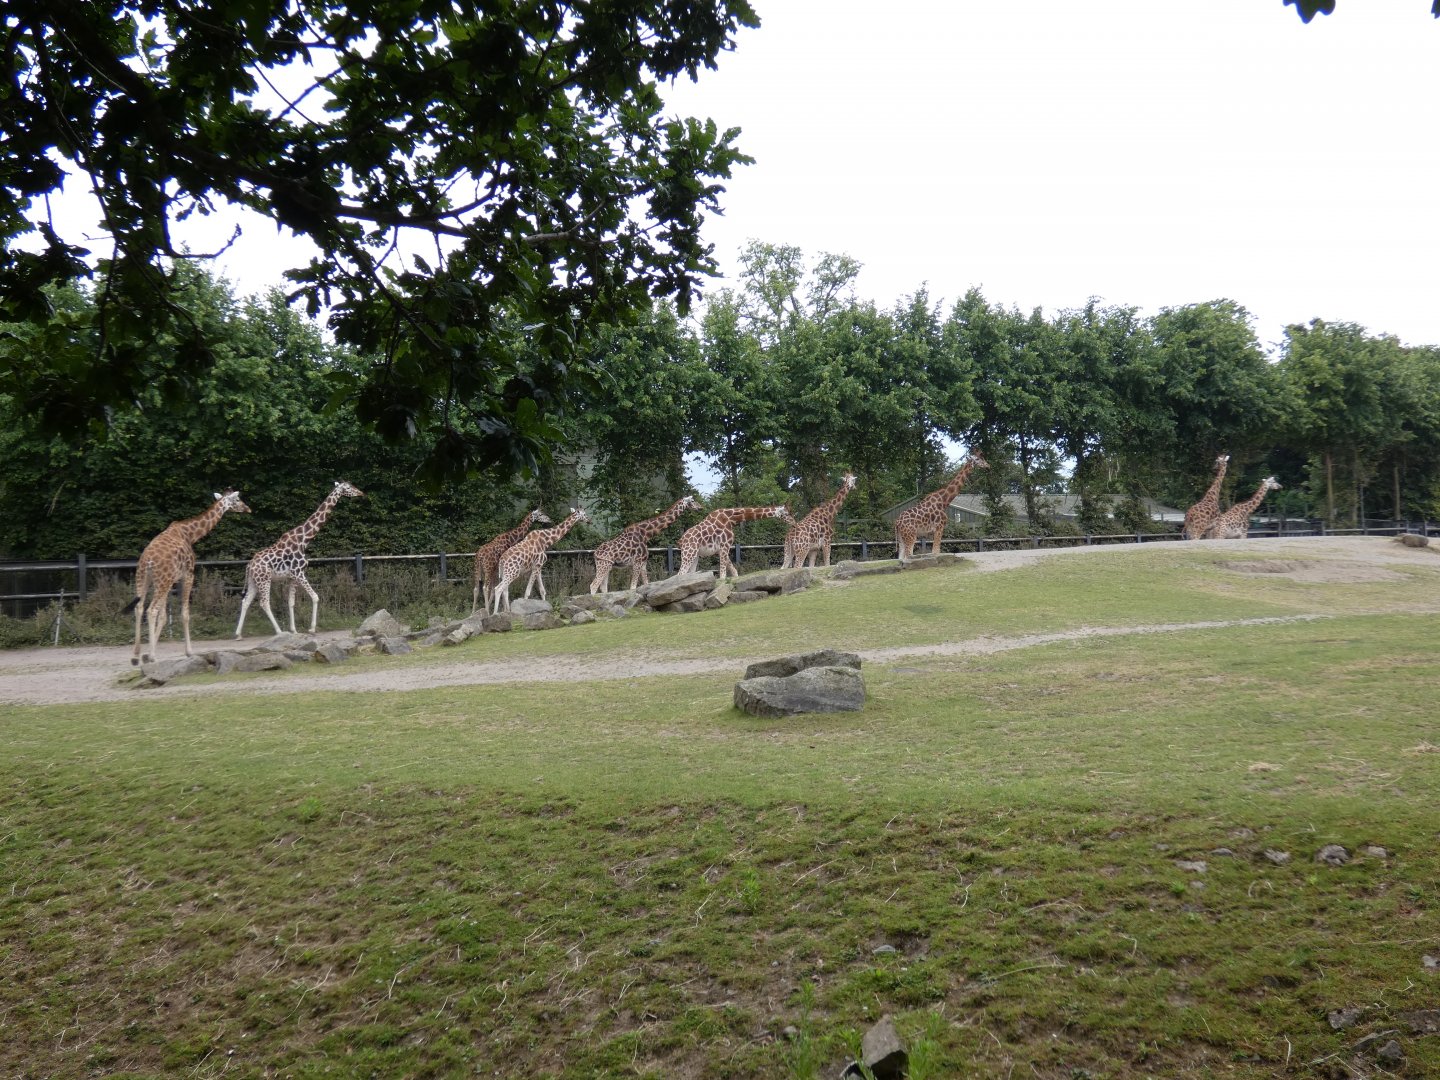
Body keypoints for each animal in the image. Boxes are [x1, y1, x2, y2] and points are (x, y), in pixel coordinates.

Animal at [126, 490, 252, 666]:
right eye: (238, 499)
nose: (248, 508)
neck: (190, 534)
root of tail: (148, 561)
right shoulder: (188, 575)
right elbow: (184, 614)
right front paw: (189, 652)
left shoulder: (171, 581)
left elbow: (163, 617)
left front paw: (146, 654)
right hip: (161, 581)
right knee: (151, 610)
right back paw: (152, 656)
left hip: (144, 579)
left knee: (139, 608)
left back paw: (136, 656)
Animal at [235, 481, 365, 638]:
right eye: (348, 487)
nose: (361, 493)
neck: (304, 539)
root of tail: (250, 565)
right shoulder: (299, 573)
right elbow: (315, 597)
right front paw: (312, 629)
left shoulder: (292, 577)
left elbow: (291, 602)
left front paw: (294, 630)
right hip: (264, 580)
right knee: (264, 603)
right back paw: (279, 631)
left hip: (253, 581)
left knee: (245, 601)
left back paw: (238, 634)